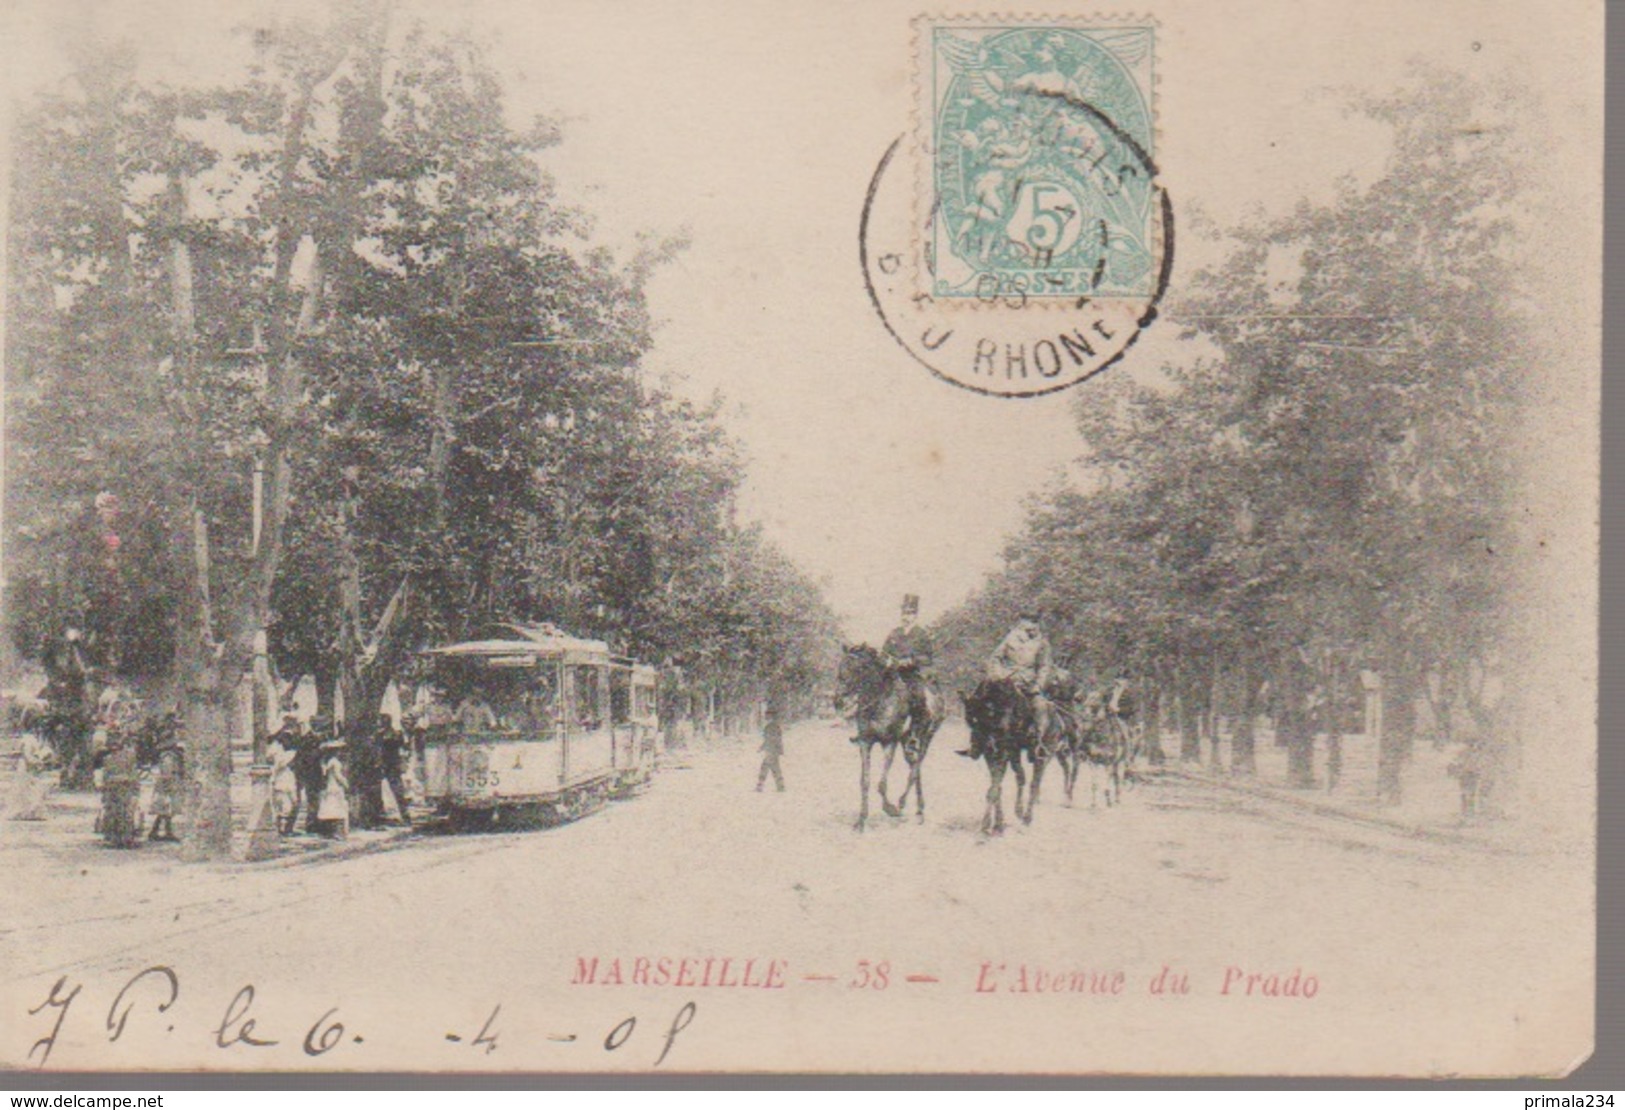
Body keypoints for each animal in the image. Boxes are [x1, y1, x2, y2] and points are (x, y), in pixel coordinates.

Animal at [845, 643, 949, 832]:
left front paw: (890, 808)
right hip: (907, 743)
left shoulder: (889, 742)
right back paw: (918, 809)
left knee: (916, 768)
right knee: (915, 767)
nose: (838, 699)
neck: (879, 702)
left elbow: (881, 783)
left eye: (858, 668)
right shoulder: (865, 742)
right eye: (841, 666)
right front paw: (861, 820)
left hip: (926, 736)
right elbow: (865, 781)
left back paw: (904, 804)